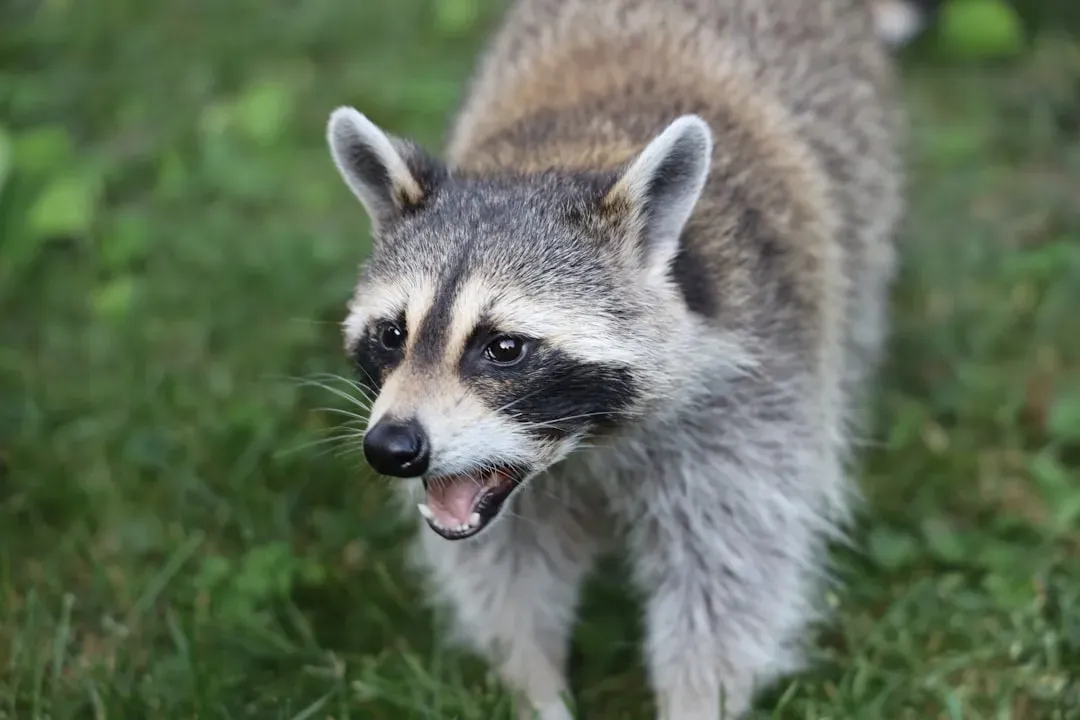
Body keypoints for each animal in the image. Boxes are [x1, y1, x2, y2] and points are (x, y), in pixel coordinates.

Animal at [325, 0, 903, 717]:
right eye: (392, 336)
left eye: (504, 348)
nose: (393, 448)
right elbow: (506, 573)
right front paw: (532, 685)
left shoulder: (757, 386)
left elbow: (731, 571)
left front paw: (696, 699)